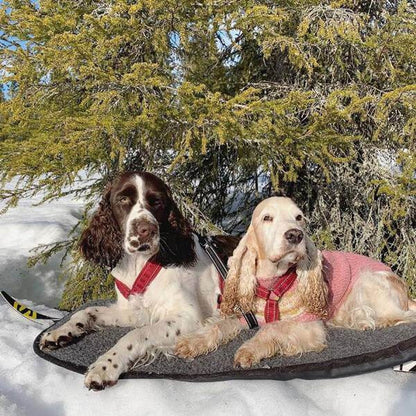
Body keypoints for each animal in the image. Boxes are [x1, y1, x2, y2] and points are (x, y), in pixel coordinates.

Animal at [42, 171, 239, 390]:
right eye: (123, 199)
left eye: (157, 201)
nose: (146, 229)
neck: (140, 263)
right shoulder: (137, 310)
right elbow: (88, 311)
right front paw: (61, 332)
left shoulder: (189, 317)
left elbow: (135, 334)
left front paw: (105, 366)